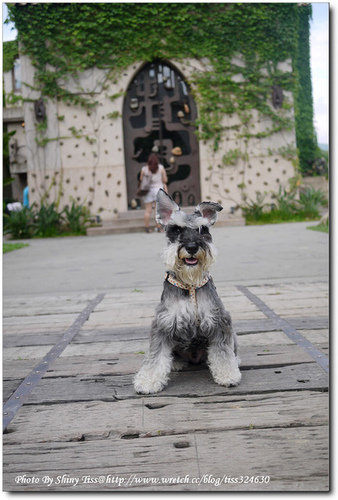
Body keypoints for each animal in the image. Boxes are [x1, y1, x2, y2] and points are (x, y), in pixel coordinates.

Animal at [133, 188, 242, 394]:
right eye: (176, 229)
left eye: (203, 230)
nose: (192, 247)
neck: (190, 284)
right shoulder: (163, 324)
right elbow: (155, 356)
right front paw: (148, 381)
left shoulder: (218, 321)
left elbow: (223, 353)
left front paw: (228, 374)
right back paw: (175, 363)